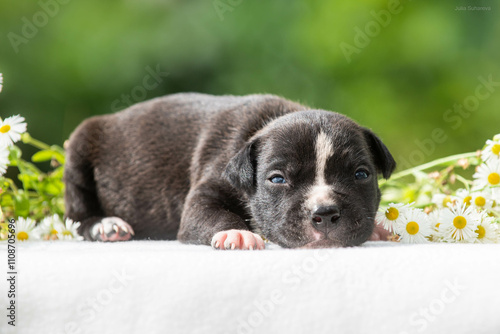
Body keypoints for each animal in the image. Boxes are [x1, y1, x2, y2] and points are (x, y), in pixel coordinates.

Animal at [64, 92, 394, 249]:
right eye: (277, 179)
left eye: (361, 175)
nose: (324, 214)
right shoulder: (203, 195)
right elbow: (213, 214)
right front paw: (237, 233)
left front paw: (379, 226)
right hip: (79, 148)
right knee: (77, 214)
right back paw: (106, 225)